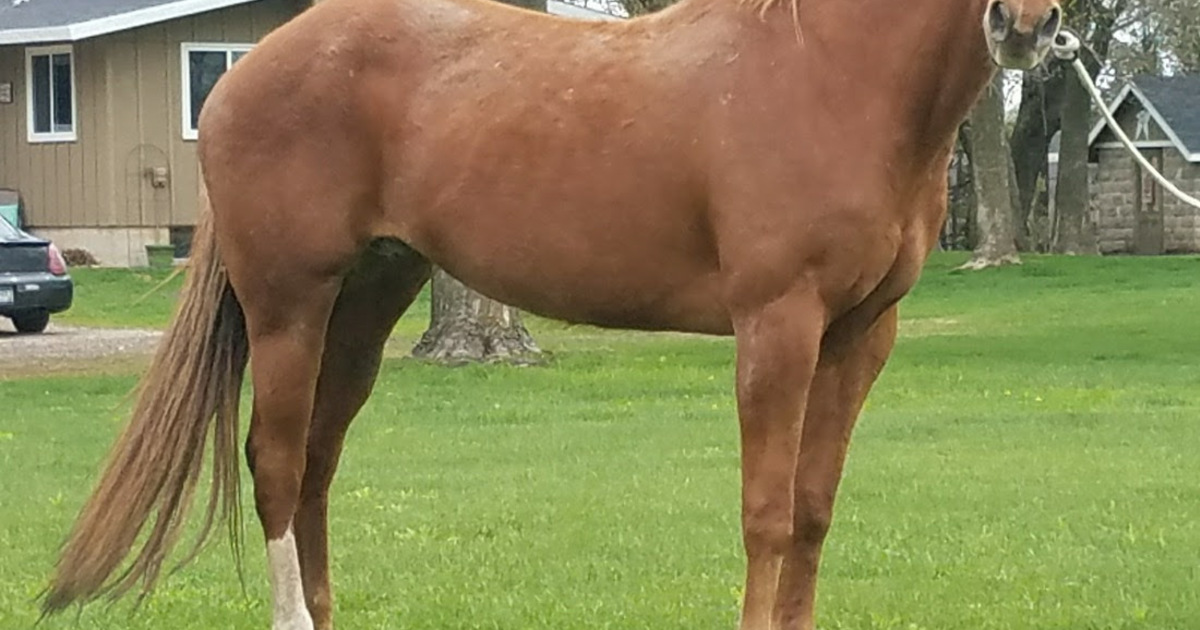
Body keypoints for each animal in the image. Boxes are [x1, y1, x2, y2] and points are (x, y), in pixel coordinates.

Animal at [41, 0, 1061, 628]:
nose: (1027, 24)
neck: (831, 75)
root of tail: (245, 71)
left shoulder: (861, 335)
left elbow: (813, 510)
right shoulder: (777, 324)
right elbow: (767, 513)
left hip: (368, 302)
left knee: (319, 466)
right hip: (290, 302)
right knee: (279, 466)